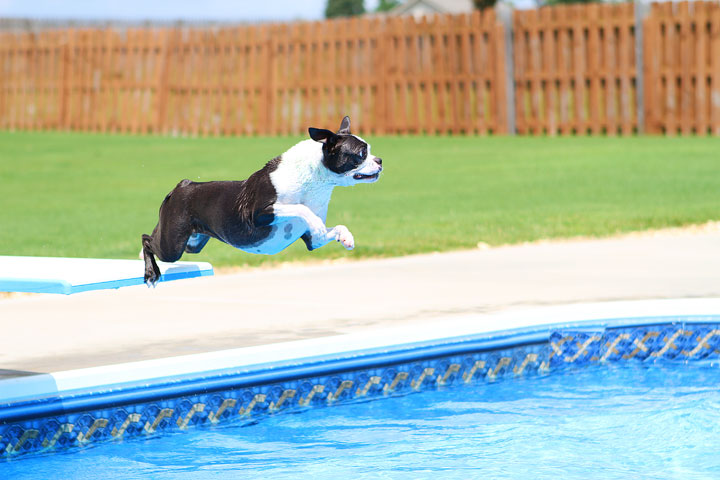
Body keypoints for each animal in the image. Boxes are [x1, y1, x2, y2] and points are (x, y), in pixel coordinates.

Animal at [140, 116, 382, 284]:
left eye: (369, 150)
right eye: (361, 154)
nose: (379, 160)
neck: (315, 180)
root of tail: (184, 185)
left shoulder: (314, 240)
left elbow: (336, 227)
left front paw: (347, 237)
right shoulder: (259, 214)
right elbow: (300, 208)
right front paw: (313, 219)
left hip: (192, 243)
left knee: (154, 235)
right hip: (173, 245)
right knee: (147, 240)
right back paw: (151, 271)